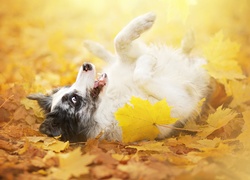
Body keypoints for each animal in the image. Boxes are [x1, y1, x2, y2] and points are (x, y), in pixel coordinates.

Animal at [27, 12, 211, 142]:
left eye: (68, 87)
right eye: (74, 100)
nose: (85, 65)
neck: (111, 100)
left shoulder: (125, 62)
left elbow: (120, 41)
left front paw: (142, 22)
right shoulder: (178, 102)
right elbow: (142, 76)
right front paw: (147, 60)